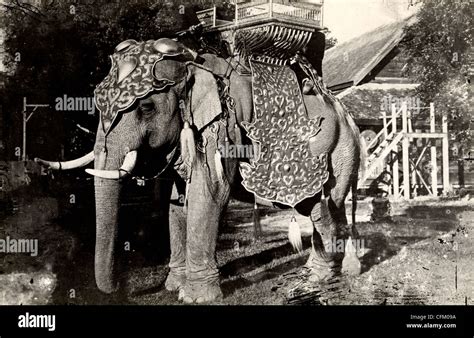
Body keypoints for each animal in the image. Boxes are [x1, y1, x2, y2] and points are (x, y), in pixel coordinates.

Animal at [37, 37, 362, 304]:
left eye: (146, 108)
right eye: (98, 104)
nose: (119, 287)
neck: (192, 64)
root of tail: (348, 117)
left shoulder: (221, 127)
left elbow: (209, 194)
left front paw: (196, 297)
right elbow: (177, 203)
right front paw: (173, 286)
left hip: (338, 149)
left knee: (325, 206)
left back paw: (322, 275)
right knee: (327, 208)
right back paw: (334, 269)